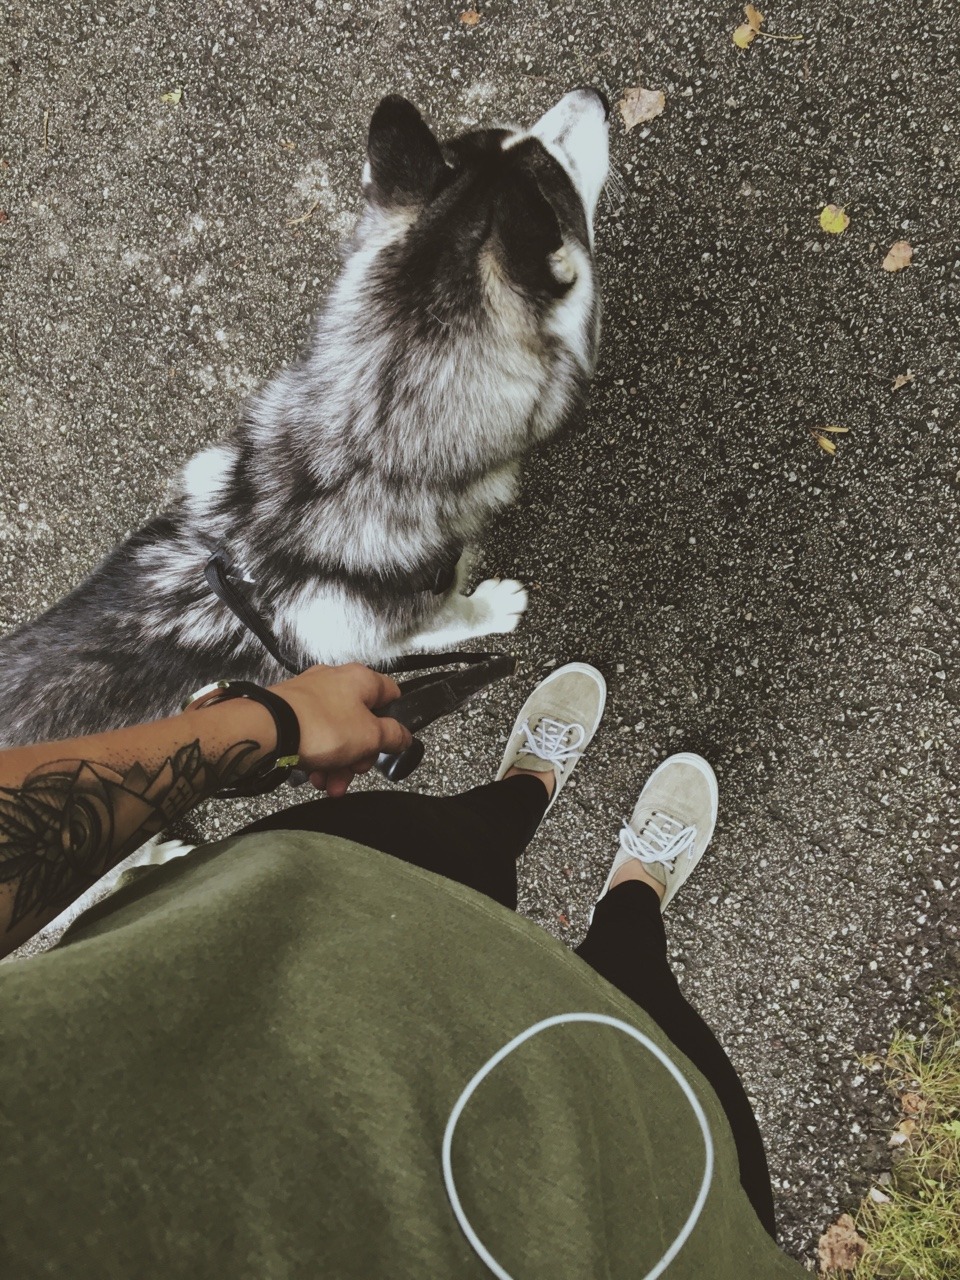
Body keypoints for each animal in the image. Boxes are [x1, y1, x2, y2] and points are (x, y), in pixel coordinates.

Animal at [0, 88, 609, 747]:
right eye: (559, 173)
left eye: (514, 135)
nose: (595, 96)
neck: (357, 457)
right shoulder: (400, 628)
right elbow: (456, 619)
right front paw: (494, 606)